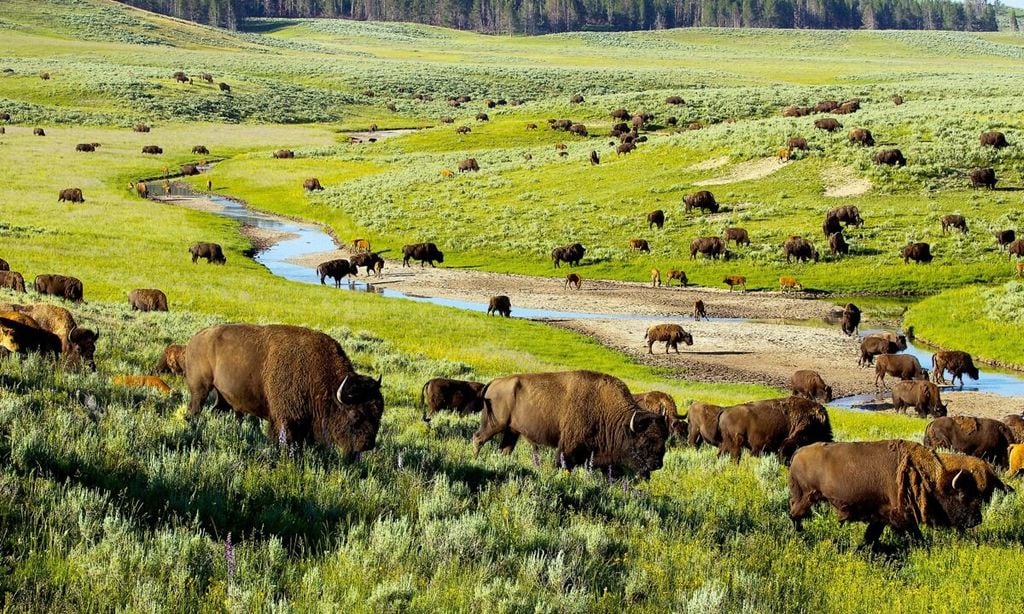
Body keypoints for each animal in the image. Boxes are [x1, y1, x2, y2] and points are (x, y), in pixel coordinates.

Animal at [184, 323, 385, 452]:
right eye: (355, 415)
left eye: (378, 414)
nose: (367, 445)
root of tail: (195, 339)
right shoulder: (286, 420)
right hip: (200, 390)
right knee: (194, 410)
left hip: (223, 396)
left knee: (217, 410)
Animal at [473, 368, 671, 478]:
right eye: (644, 441)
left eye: (664, 439)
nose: (657, 464)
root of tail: (493, 382)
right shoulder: (568, 448)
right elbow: (564, 465)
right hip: (494, 425)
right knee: (478, 439)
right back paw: (474, 461)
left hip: (512, 431)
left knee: (504, 449)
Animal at [786, 437, 1003, 548]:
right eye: (963, 495)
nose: (977, 520)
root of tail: (798, 452)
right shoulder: (901, 517)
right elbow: (914, 534)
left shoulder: (881, 517)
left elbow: (872, 535)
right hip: (805, 497)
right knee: (794, 515)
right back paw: (800, 536)